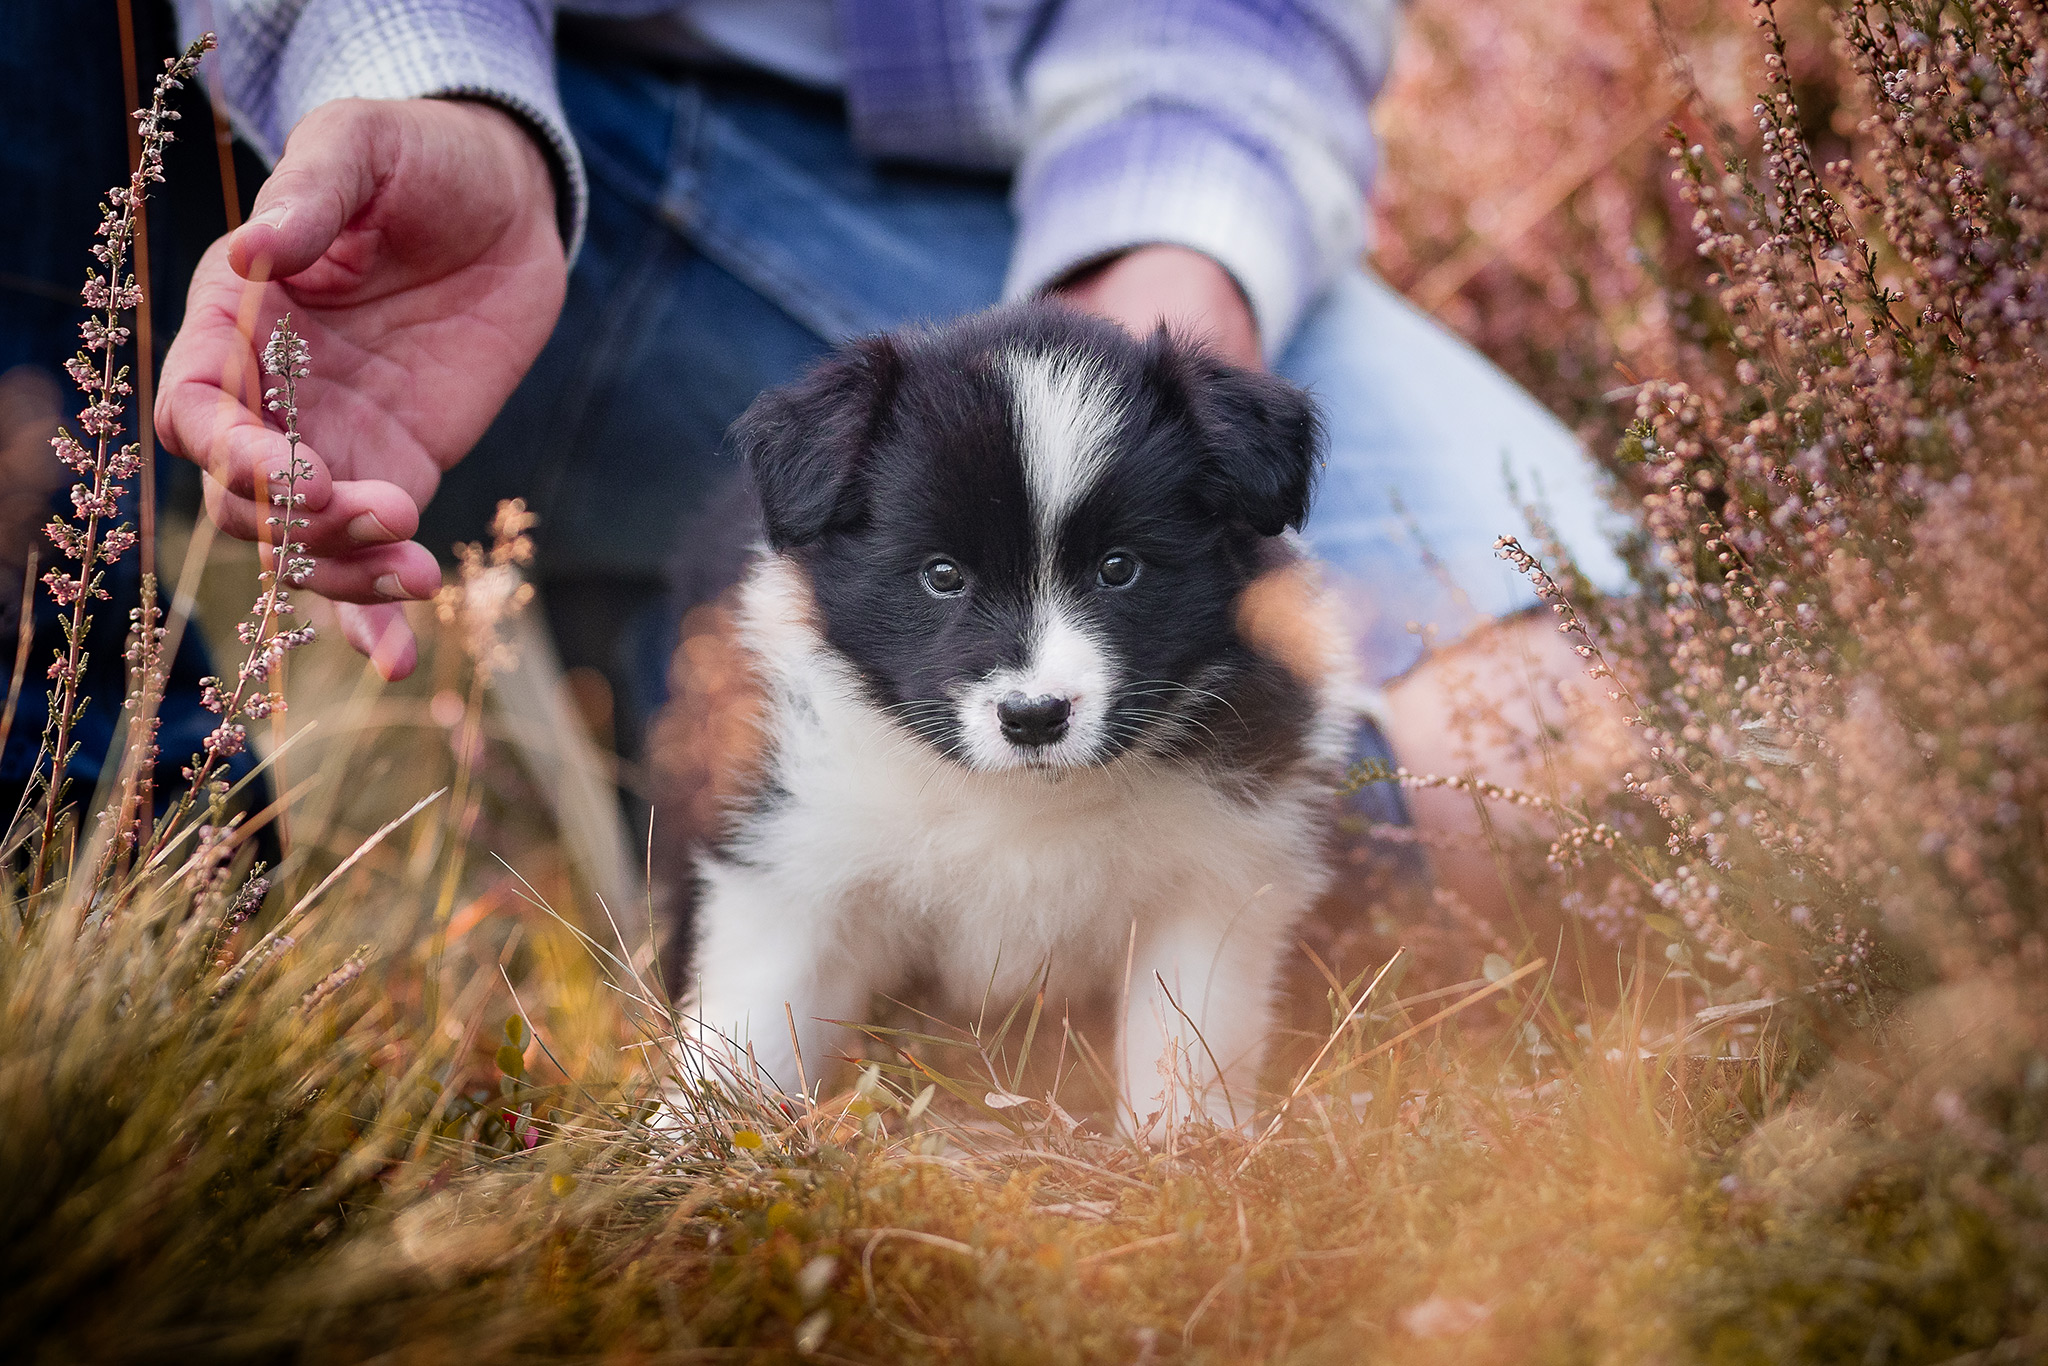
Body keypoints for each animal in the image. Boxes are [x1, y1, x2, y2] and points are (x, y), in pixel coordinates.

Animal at [655, 301, 1359, 1130]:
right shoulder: (795, 855)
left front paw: (1187, 1148)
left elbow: (1186, 1037)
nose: (1034, 716)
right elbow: (753, 1019)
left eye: (1119, 568)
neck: (1020, 799)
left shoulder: (1214, 879)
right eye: (942, 575)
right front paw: (686, 1142)